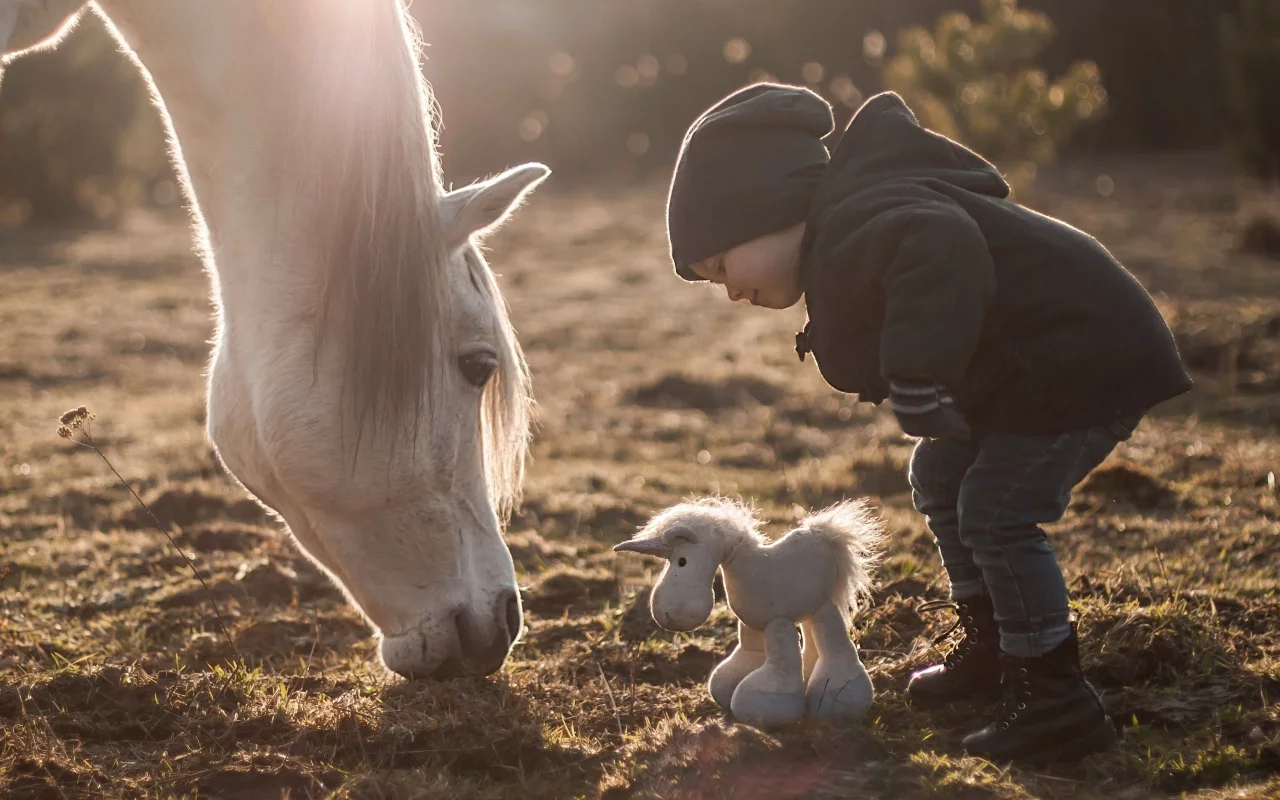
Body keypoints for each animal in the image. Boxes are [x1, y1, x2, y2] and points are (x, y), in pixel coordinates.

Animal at [616, 496, 880, 727]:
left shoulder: (778, 623)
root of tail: (825, 533)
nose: (666, 615)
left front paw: (761, 701)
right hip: (810, 606)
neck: (749, 569)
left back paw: (837, 697)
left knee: (833, 639)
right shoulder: (752, 625)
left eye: (682, 561)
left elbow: (781, 663)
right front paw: (730, 684)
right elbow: (747, 654)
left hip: (823, 608)